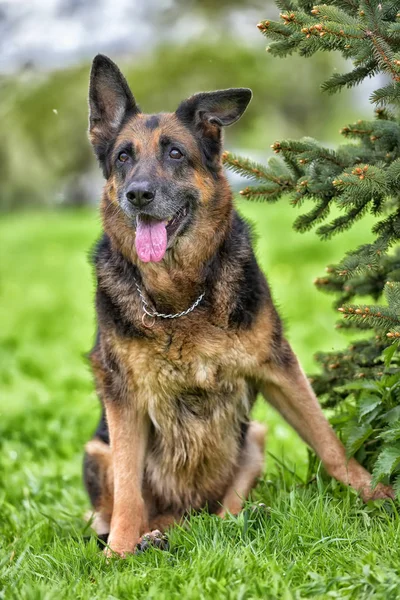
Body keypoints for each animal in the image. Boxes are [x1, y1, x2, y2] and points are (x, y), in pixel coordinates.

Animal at [84, 56, 394, 556]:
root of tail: (184, 515)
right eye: (123, 158)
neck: (179, 300)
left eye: (175, 154)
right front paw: (118, 553)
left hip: (255, 441)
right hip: (97, 451)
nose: (138, 195)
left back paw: (238, 519)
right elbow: (130, 489)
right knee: (129, 506)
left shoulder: (277, 367)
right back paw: (147, 538)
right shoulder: (122, 398)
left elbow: (329, 442)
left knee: (224, 510)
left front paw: (376, 495)